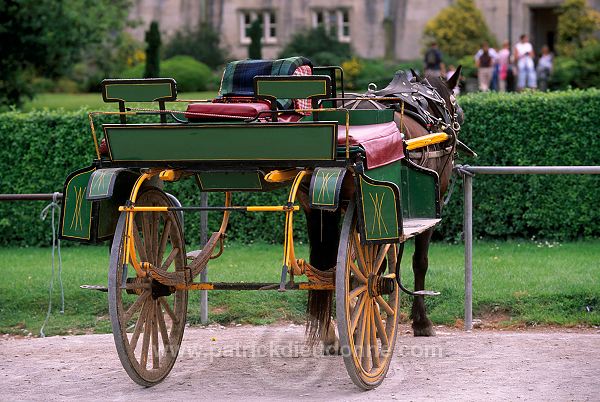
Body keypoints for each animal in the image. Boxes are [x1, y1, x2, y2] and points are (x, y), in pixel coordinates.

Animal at [300, 66, 464, 352]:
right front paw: (420, 321)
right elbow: (418, 262)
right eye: (454, 100)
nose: (461, 116)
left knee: (328, 268)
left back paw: (330, 331)